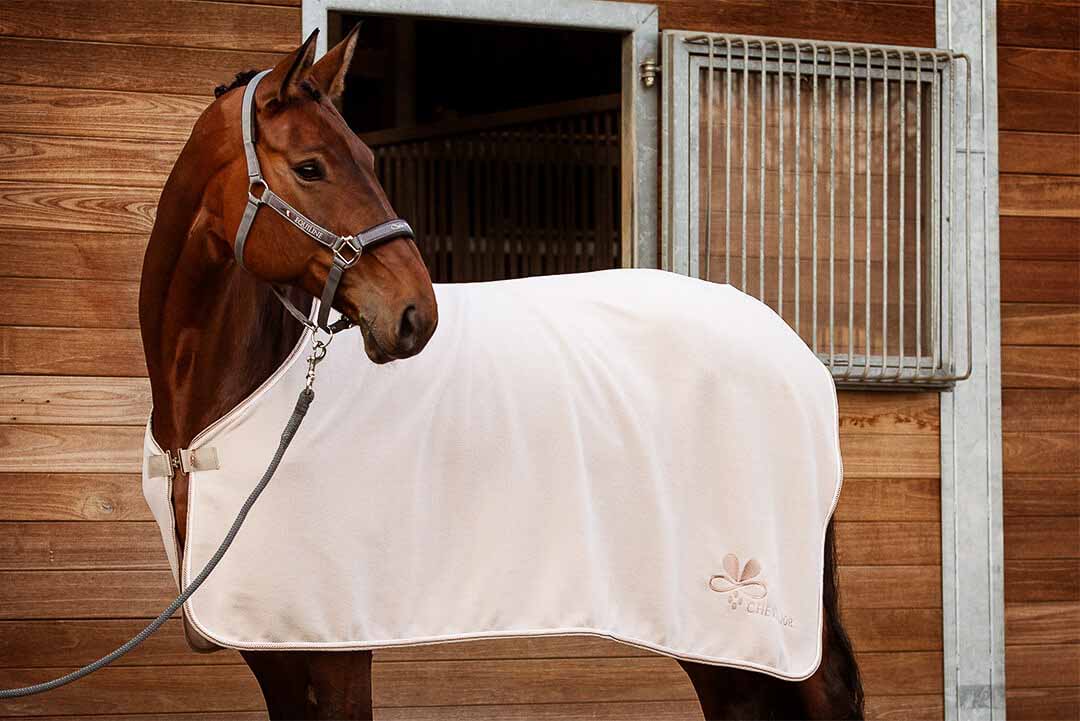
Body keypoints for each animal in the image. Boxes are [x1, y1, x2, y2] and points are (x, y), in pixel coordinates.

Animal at [139, 27, 863, 720]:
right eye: (310, 167)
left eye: (369, 159)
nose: (416, 314)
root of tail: (798, 355)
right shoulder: (272, 648)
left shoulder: (334, 644)